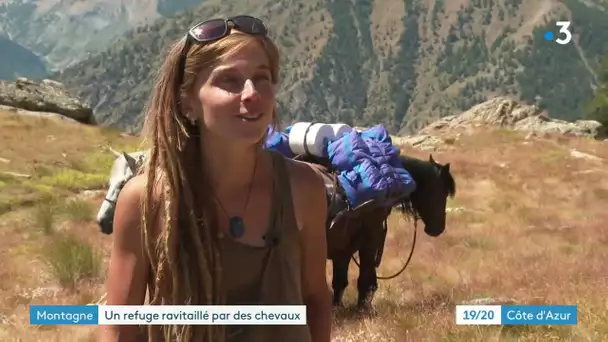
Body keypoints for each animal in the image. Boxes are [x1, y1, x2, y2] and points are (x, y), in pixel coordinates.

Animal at [296, 154, 454, 312]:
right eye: (443, 192)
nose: (438, 228)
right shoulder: (369, 239)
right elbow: (365, 278)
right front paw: (363, 307)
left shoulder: (343, 248)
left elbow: (339, 281)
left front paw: (337, 307)